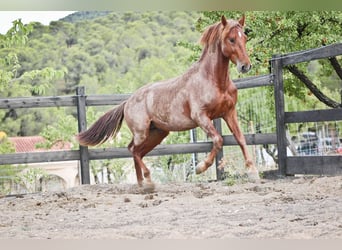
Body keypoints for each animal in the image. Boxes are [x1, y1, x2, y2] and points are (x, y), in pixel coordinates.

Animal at [77, 15, 260, 188]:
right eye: (231, 39)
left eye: (244, 37)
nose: (245, 66)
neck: (213, 81)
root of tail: (127, 102)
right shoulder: (201, 117)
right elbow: (218, 140)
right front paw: (200, 168)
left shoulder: (229, 113)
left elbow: (240, 138)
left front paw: (252, 172)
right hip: (142, 133)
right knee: (133, 150)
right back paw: (147, 181)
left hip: (157, 133)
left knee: (137, 151)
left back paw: (142, 184)